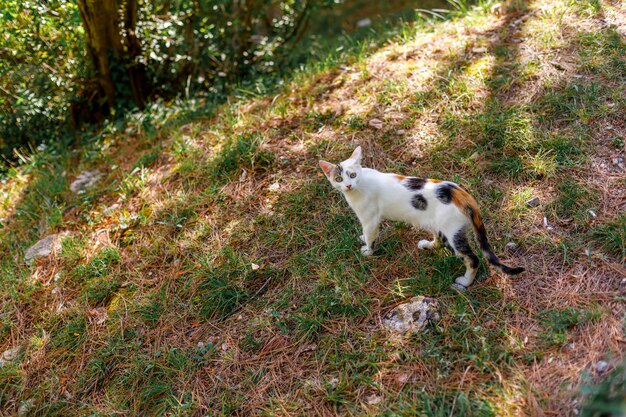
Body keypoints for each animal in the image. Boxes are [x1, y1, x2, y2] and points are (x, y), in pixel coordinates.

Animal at [316, 146, 520, 290]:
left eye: (352, 174)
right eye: (339, 179)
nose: (348, 185)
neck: (360, 184)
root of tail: (462, 194)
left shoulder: (370, 219)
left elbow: (370, 235)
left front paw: (367, 250)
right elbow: (365, 234)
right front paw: (362, 239)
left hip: (453, 232)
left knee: (472, 259)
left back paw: (465, 282)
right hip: (436, 223)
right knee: (439, 239)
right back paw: (428, 245)